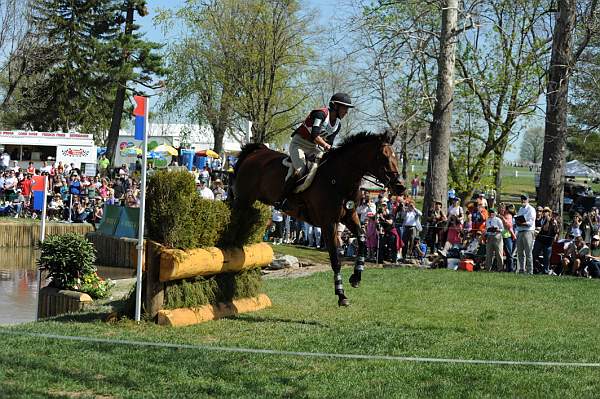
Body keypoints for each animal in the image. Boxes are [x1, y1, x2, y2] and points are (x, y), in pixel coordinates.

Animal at [232, 131, 406, 306]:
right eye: (383, 156)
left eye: (395, 157)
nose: (401, 186)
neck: (338, 178)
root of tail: (257, 152)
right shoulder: (328, 223)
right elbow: (335, 259)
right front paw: (341, 294)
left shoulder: (350, 216)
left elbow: (362, 239)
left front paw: (356, 277)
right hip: (243, 199)